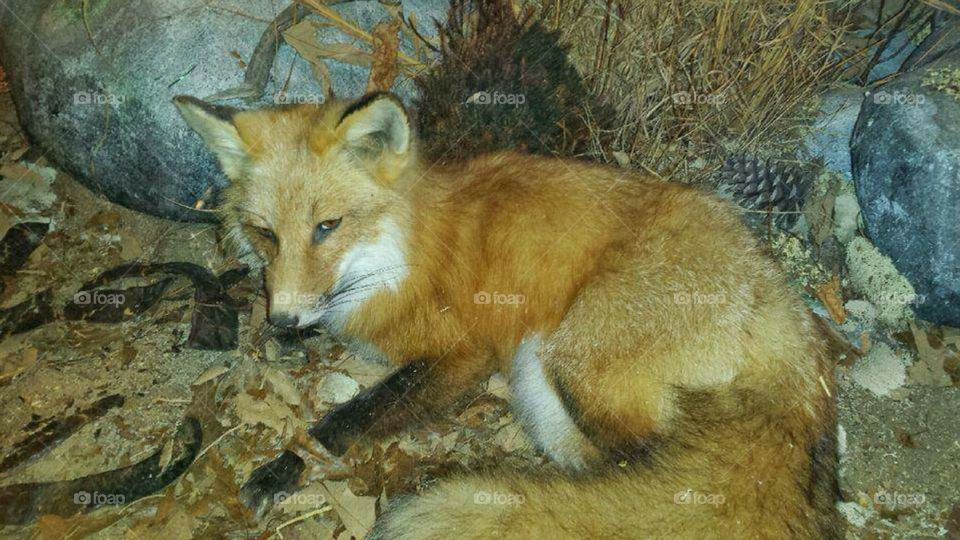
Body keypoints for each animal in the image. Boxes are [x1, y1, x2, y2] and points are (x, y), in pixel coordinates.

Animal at [174, 91, 842, 539]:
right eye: (265, 233)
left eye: (327, 226)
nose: (283, 321)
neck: (406, 255)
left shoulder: (462, 354)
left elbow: (347, 418)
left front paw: (283, 467)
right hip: (540, 388)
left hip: (570, 359)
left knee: (639, 463)